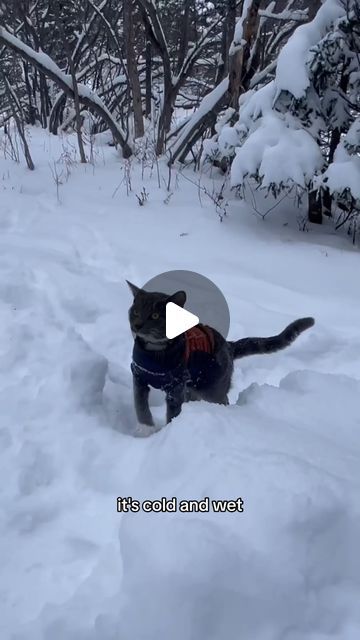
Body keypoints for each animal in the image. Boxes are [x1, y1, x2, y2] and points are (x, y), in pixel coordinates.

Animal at [128, 282, 314, 428]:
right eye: (135, 312)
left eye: (155, 315)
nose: (137, 325)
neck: (154, 353)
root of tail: (228, 345)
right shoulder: (139, 376)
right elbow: (140, 405)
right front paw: (145, 430)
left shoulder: (176, 386)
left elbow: (172, 413)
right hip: (193, 387)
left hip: (212, 387)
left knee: (222, 400)